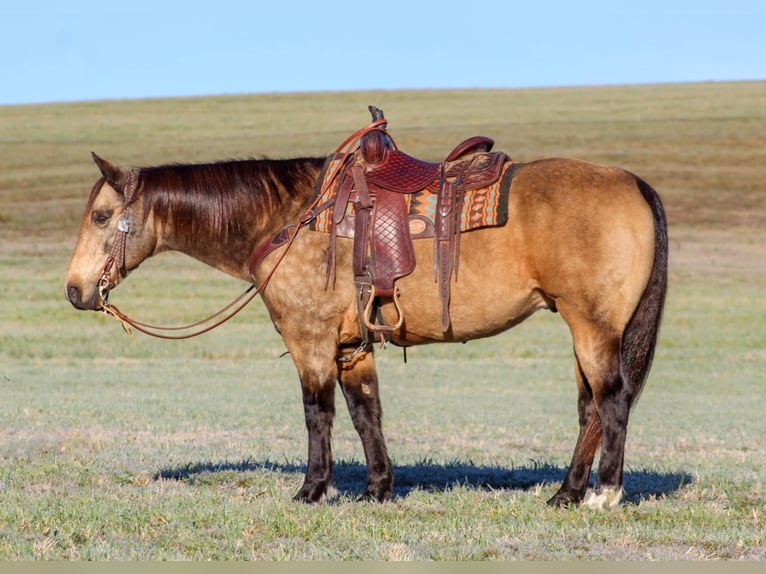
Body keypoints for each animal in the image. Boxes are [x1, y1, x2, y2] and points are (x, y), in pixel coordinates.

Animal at [64, 107, 664, 508]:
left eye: (101, 216)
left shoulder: (308, 340)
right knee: (590, 408)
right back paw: (566, 493)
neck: (290, 217)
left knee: (612, 400)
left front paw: (311, 489)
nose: (74, 290)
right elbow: (365, 412)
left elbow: (318, 412)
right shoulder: (352, 344)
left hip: (593, 326)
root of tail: (634, 182)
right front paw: (377, 488)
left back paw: (603, 494)